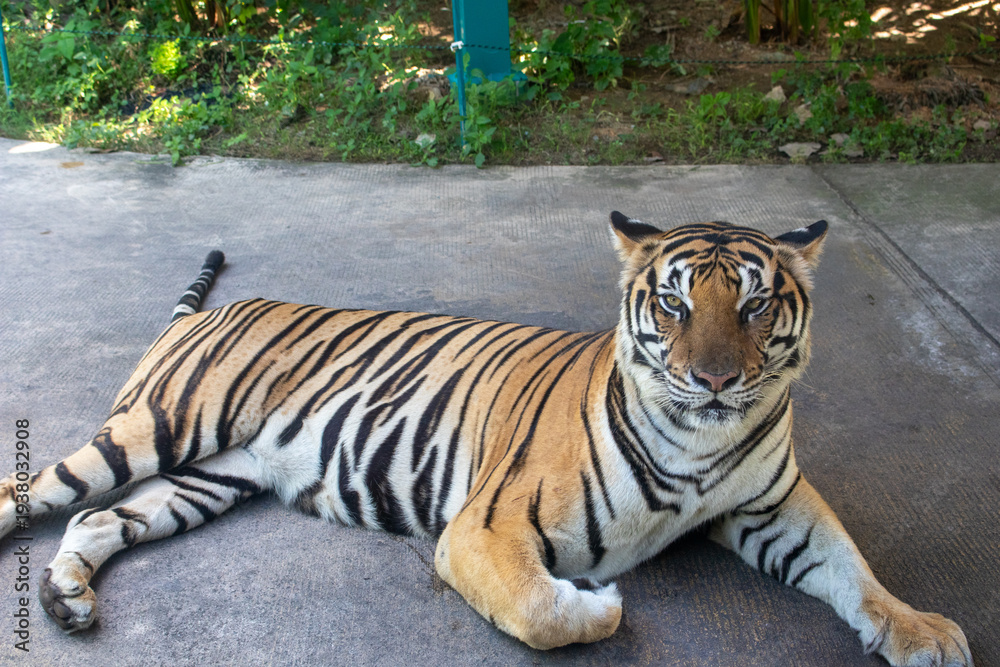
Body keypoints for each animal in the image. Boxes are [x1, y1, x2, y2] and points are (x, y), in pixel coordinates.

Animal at [0, 213, 972, 665]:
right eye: (673, 303)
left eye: (758, 304)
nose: (715, 382)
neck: (697, 443)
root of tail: (219, 309)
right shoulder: (485, 525)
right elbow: (540, 608)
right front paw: (599, 604)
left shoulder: (775, 506)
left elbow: (852, 567)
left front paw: (922, 629)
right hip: (158, 426)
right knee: (42, 494)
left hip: (209, 475)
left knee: (97, 520)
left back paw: (67, 601)